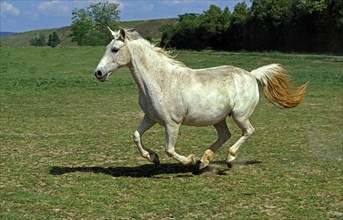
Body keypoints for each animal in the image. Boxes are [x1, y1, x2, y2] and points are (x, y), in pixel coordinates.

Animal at [94, 27, 310, 168]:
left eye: (115, 49)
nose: (98, 73)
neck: (160, 80)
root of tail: (251, 74)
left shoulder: (172, 123)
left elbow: (169, 149)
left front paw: (190, 160)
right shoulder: (150, 118)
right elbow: (136, 136)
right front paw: (153, 157)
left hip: (240, 116)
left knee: (248, 131)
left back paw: (228, 159)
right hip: (218, 118)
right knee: (225, 135)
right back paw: (205, 160)